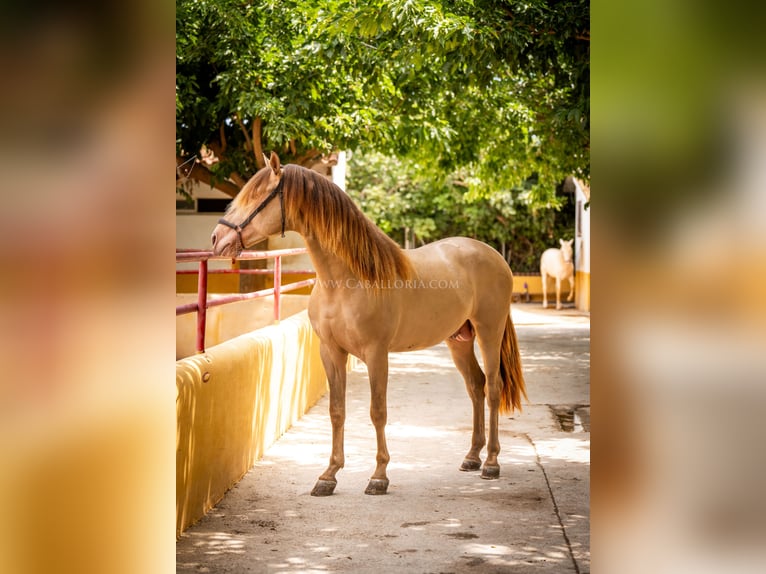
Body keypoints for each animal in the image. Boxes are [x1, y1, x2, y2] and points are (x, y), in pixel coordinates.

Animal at [213, 152, 532, 496]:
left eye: (257, 195)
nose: (217, 239)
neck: (346, 281)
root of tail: (494, 256)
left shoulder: (377, 354)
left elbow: (377, 411)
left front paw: (379, 476)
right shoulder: (331, 352)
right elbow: (337, 411)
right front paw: (328, 475)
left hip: (489, 332)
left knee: (494, 388)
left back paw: (491, 463)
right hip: (459, 340)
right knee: (476, 386)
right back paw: (472, 457)